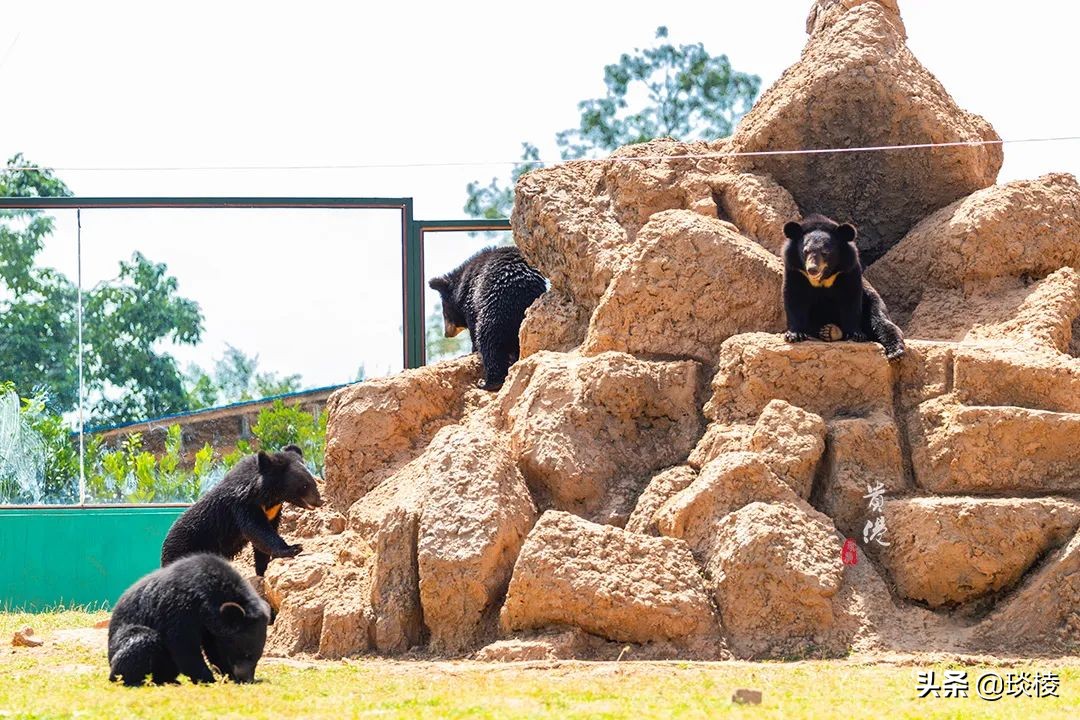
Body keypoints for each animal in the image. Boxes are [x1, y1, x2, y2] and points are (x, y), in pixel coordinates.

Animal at [107, 552, 272, 686]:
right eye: (247, 653)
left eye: (257, 656)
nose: (247, 679)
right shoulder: (179, 605)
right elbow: (183, 644)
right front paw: (208, 679)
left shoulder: (211, 626)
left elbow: (215, 648)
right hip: (124, 638)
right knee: (142, 640)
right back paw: (131, 680)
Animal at [158, 442, 319, 578]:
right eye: (305, 485)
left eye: (313, 482)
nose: (319, 501)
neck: (268, 496)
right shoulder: (242, 505)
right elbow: (258, 530)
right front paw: (293, 548)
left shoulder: (272, 510)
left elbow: (264, 535)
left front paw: (262, 570)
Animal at [427, 248, 548, 395]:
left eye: (444, 312)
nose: (447, 333)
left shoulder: (472, 298)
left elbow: (473, 326)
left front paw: (473, 350)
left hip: (496, 306)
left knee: (489, 340)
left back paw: (488, 383)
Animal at [786, 213, 902, 360]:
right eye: (805, 251)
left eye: (825, 252)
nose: (812, 269)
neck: (823, 278)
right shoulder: (796, 271)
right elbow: (795, 298)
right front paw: (794, 335)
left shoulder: (848, 269)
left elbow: (850, 299)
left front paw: (855, 335)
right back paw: (830, 331)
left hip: (872, 300)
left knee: (881, 320)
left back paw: (896, 352)